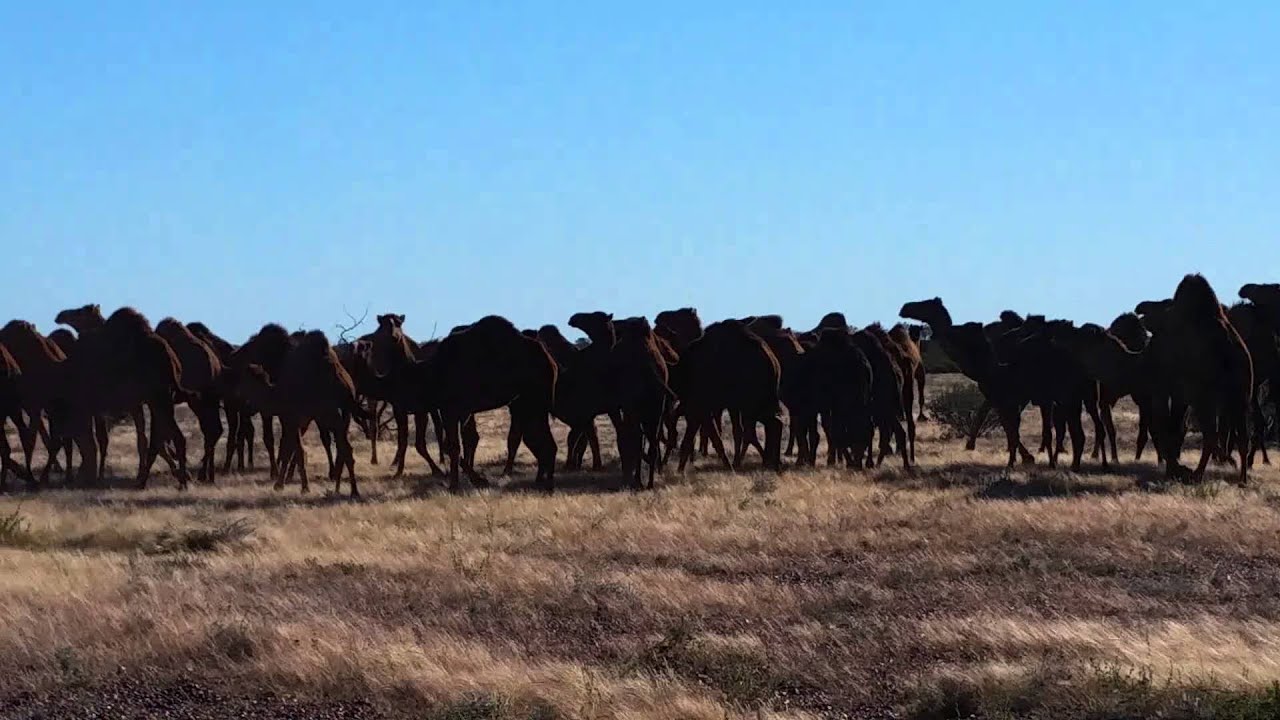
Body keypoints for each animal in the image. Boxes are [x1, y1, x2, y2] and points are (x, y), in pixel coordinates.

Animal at [55, 305, 190, 488]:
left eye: (81, 312)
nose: (60, 315)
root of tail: (171, 359)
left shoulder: (95, 405)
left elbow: (96, 441)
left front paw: (93, 477)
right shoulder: (130, 404)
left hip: (158, 397)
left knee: (171, 438)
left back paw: (175, 481)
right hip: (163, 398)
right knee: (166, 438)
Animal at [232, 331, 363, 496]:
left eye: (245, 382)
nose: (237, 395)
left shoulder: (292, 418)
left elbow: (296, 450)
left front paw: (303, 487)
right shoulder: (297, 421)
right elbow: (288, 449)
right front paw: (280, 484)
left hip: (331, 414)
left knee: (343, 448)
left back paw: (346, 488)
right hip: (344, 414)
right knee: (346, 449)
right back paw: (349, 490)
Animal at [407, 316, 558, 492]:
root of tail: (550, 362)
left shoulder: (450, 408)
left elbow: (453, 445)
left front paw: (456, 485)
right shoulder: (461, 410)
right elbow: (461, 441)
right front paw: (473, 480)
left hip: (534, 400)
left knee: (541, 440)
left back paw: (546, 483)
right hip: (532, 402)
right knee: (538, 439)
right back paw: (542, 482)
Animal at [1143, 275, 1252, 484]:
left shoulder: (1169, 387)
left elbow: (1170, 426)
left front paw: (1176, 470)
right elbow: (1176, 427)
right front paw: (1176, 469)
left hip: (1205, 398)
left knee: (1210, 434)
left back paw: (1197, 474)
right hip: (1240, 396)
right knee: (1241, 436)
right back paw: (1241, 477)